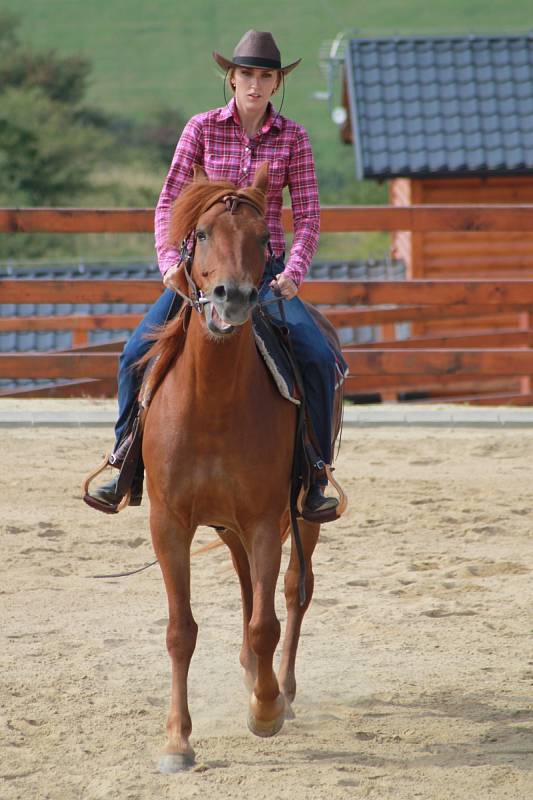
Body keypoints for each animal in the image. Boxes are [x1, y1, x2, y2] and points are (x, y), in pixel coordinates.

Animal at [139, 161, 342, 768]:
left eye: (261, 240)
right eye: (202, 234)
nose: (233, 297)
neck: (213, 402)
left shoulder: (263, 519)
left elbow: (266, 624)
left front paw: (267, 710)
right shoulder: (169, 524)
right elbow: (181, 629)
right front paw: (177, 740)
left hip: (299, 515)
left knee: (294, 590)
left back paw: (282, 690)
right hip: (228, 527)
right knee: (248, 584)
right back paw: (253, 676)